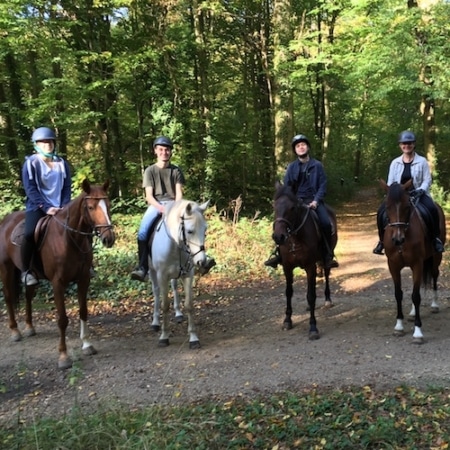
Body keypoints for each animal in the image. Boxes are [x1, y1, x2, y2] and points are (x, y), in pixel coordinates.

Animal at [0, 179, 115, 370]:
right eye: (91, 207)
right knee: (9, 297)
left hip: (33, 276)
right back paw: (15, 331)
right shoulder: (58, 283)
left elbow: (83, 311)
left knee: (28, 296)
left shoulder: (83, 279)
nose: (109, 238)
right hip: (6, 268)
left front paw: (87, 345)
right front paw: (63, 356)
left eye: (109, 205)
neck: (68, 238)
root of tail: (6, 220)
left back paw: (29, 327)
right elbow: (62, 319)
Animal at [148, 199, 211, 350]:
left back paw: (178, 314)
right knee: (156, 293)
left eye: (205, 230)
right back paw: (155, 322)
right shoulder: (162, 276)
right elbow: (165, 305)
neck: (175, 246)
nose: (202, 261)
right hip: (152, 272)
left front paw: (193, 338)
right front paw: (164, 337)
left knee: (175, 287)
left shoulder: (187, 275)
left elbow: (189, 305)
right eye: (190, 231)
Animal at [270, 181, 338, 340]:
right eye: (274, 206)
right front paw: (287, 320)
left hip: (325, 260)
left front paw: (313, 327)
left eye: (292, 208)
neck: (295, 238)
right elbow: (289, 292)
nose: (279, 237)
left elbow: (311, 295)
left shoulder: (310, 266)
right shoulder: (287, 267)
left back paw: (328, 300)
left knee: (326, 274)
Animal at [380, 179, 446, 344]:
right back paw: (411, 312)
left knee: (434, 275)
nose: (398, 239)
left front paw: (418, 333)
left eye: (407, 207)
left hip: (436, 257)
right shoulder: (393, 265)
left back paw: (434, 305)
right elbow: (398, 294)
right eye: (387, 207)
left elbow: (416, 296)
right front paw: (399, 326)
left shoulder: (417, 264)